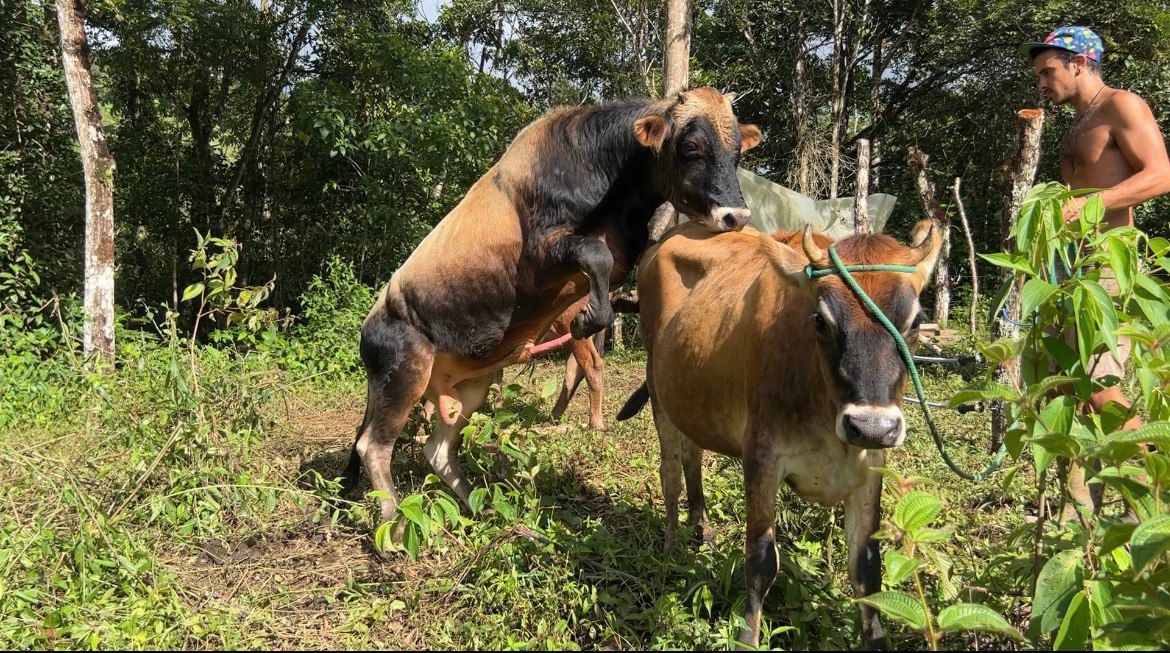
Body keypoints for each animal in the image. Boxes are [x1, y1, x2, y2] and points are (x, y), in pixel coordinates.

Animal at [342, 88, 761, 532]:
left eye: (737, 152)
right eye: (690, 146)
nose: (735, 216)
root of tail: (371, 323)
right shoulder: (544, 250)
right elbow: (594, 256)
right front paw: (587, 318)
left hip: (469, 386)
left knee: (437, 449)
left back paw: (481, 508)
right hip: (406, 372)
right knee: (373, 446)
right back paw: (394, 524)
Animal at [617, 220, 942, 649]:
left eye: (917, 321)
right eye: (820, 320)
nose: (871, 426)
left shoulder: (870, 467)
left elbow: (868, 572)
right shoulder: (762, 457)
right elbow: (760, 561)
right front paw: (746, 637)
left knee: (693, 458)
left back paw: (701, 533)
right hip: (658, 390)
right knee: (670, 472)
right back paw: (671, 551)